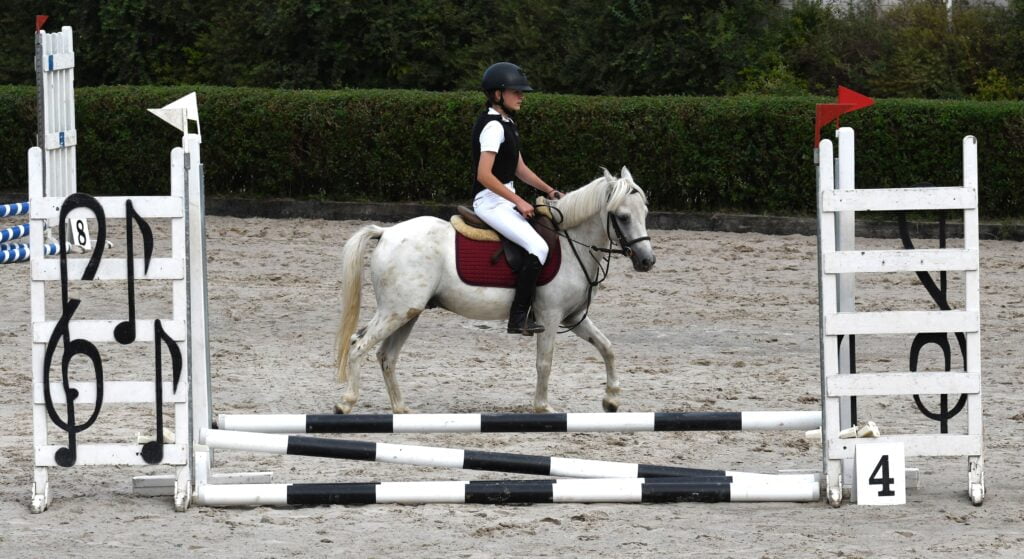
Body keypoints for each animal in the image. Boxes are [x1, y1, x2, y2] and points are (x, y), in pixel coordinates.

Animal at [335, 165, 655, 413]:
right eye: (623, 217)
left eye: (645, 212)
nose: (647, 261)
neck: (570, 242)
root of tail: (386, 232)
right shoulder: (550, 316)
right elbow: (545, 361)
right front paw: (543, 407)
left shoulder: (573, 316)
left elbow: (607, 347)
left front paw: (611, 399)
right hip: (397, 311)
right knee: (359, 345)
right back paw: (346, 402)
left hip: (408, 312)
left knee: (386, 356)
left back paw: (400, 408)